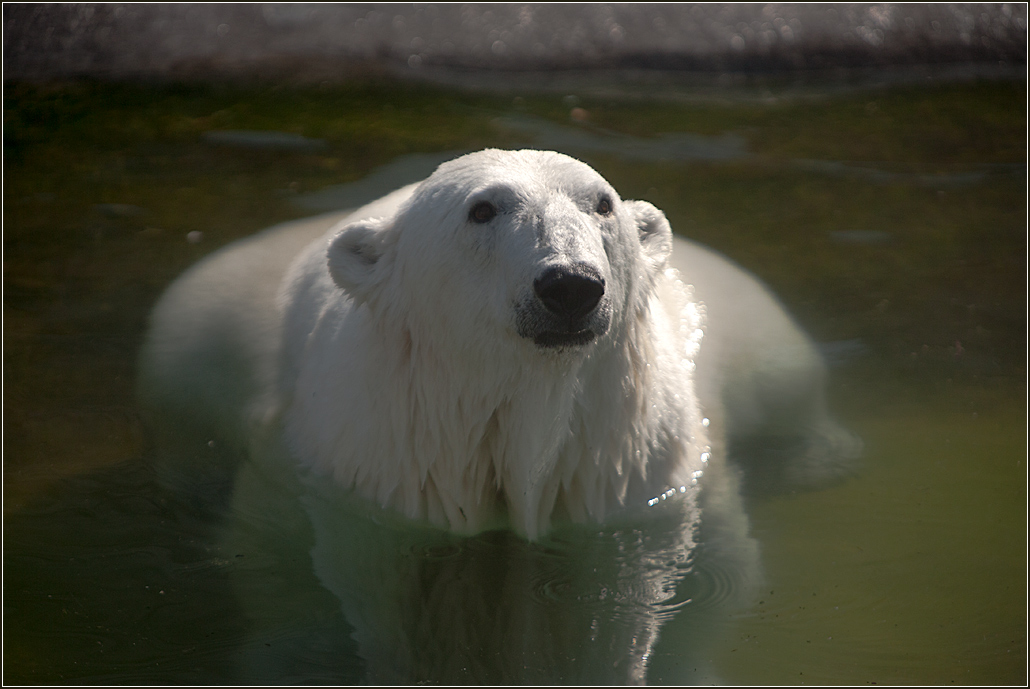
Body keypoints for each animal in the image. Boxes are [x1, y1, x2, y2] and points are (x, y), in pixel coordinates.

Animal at [139, 148, 861, 679]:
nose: (570, 284)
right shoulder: (362, 473)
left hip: (753, 326)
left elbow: (700, 584)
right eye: (482, 209)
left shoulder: (628, 473)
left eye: (601, 203)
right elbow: (284, 578)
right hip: (195, 331)